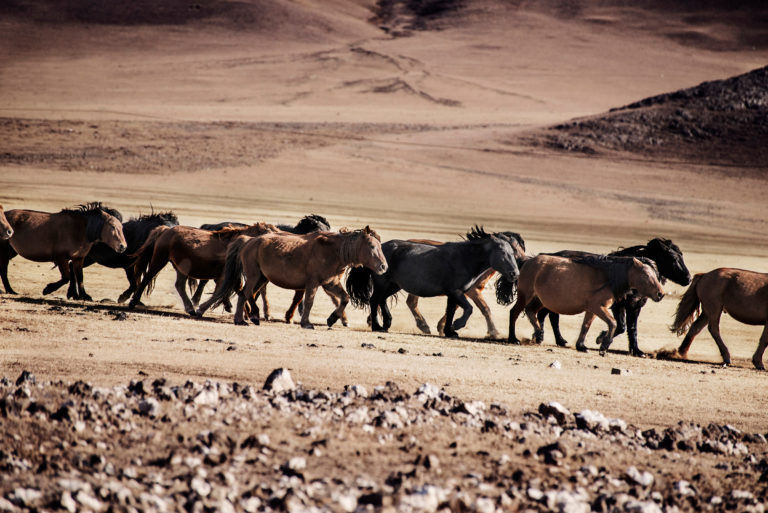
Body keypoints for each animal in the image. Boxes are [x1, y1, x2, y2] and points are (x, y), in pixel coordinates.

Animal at [127, 223, 279, 314]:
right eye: (271, 233)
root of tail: (166, 230)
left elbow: (234, 289)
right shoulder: (226, 274)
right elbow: (226, 290)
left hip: (181, 268)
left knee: (179, 285)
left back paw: (190, 308)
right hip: (159, 259)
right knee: (147, 278)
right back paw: (133, 302)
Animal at [195, 227, 387, 328]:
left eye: (379, 245)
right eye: (372, 246)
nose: (384, 267)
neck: (334, 251)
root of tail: (249, 241)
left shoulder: (330, 283)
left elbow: (344, 298)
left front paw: (332, 319)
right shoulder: (313, 283)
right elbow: (309, 302)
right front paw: (306, 323)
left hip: (262, 278)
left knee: (249, 295)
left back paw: (252, 316)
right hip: (254, 275)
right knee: (244, 294)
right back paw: (240, 320)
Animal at [346, 230, 520, 337]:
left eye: (513, 252)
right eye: (503, 252)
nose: (515, 273)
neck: (464, 258)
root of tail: (379, 249)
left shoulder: (454, 294)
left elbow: (450, 311)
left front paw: (449, 331)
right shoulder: (456, 291)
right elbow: (468, 309)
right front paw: (457, 325)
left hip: (394, 285)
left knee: (381, 299)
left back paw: (387, 323)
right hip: (383, 283)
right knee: (374, 300)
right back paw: (377, 326)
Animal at [505, 254, 665, 353]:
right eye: (646, 275)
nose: (661, 294)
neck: (608, 277)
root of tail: (528, 261)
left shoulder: (592, 309)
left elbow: (586, 326)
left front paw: (582, 346)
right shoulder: (598, 307)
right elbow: (613, 323)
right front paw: (603, 345)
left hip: (540, 300)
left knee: (531, 312)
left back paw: (539, 334)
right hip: (525, 296)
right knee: (514, 313)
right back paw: (513, 338)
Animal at [534, 238, 691, 356]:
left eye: (682, 256)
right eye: (673, 258)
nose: (688, 278)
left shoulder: (635, 307)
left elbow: (632, 328)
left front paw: (636, 350)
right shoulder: (618, 305)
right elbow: (621, 326)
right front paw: (601, 339)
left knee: (548, 315)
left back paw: (553, 339)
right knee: (548, 316)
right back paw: (546, 338)